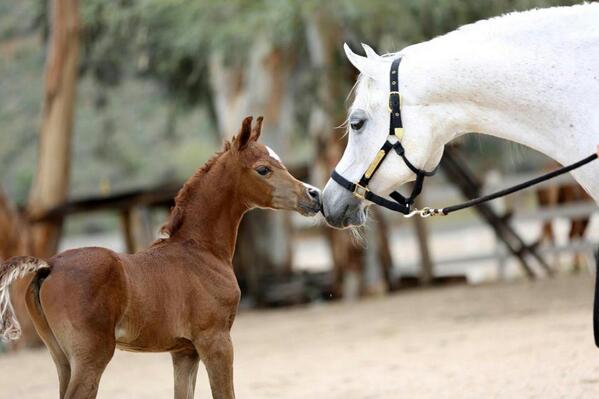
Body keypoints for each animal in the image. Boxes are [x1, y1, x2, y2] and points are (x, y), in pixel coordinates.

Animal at [0, 116, 322, 399]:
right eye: (263, 169)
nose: (314, 195)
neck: (200, 251)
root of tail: (50, 266)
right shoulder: (216, 341)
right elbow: (225, 393)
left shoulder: (184, 352)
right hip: (92, 357)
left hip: (62, 359)